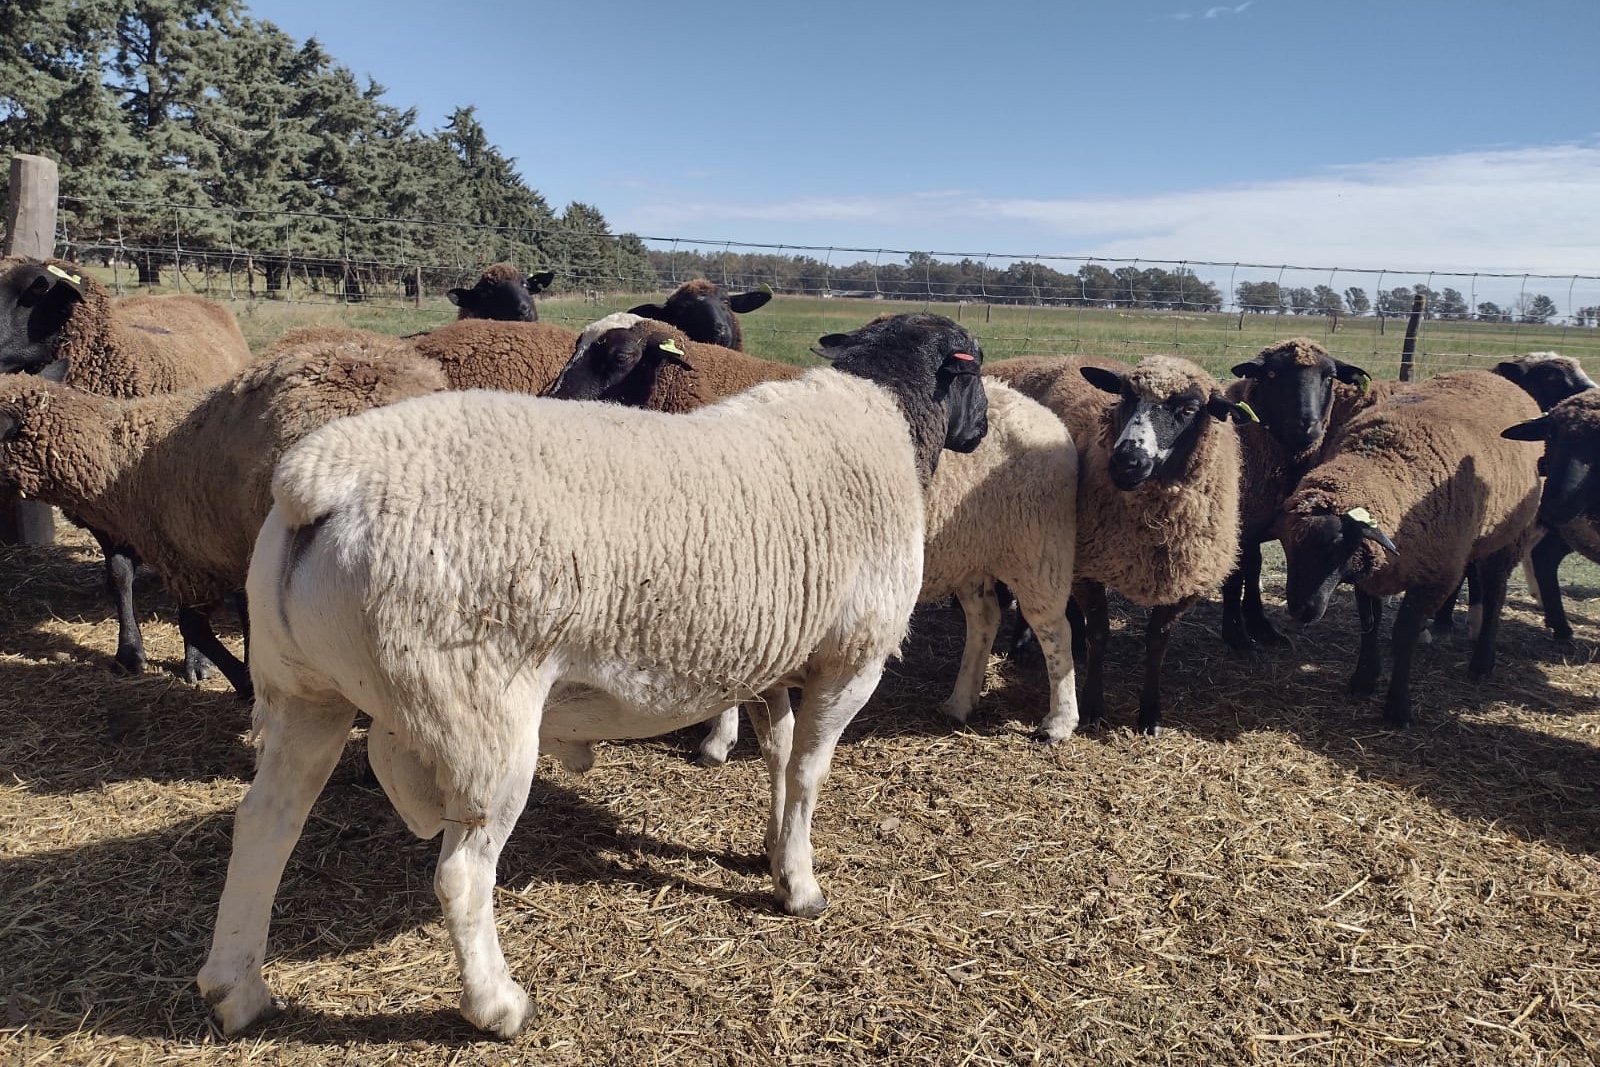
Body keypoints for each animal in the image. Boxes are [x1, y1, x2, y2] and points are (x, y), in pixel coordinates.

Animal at [198, 313, 985, 1036]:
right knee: (460, 872)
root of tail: (319, 478)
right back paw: (497, 1005)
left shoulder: (771, 660)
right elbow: (808, 773)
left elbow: (778, 756)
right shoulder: (852, 658)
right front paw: (799, 884)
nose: (978, 433)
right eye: (974, 367)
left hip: (305, 692)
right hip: (481, 713)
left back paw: (237, 990)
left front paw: (769, 851)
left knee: (266, 822)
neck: (886, 414)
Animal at [547, 313, 1075, 764]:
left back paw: (1059, 722)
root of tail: (1041, 412)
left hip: (1038, 551)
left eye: (618, 356)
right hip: (972, 556)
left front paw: (720, 739)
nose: (552, 399)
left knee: (1055, 630)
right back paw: (961, 701)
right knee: (984, 618)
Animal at [985, 350, 1248, 735]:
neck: (1151, 527)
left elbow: (1156, 644)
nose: (1127, 462)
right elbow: (1101, 634)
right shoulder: (1087, 567)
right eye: (1125, 397)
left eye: (1189, 409)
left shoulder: (1184, 583)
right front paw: (1093, 707)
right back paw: (1022, 643)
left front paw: (1150, 715)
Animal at [1273, 371, 1536, 729]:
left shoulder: (1430, 578)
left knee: (1496, 593)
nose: (1301, 610)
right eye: (1287, 546)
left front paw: (1398, 708)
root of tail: (1494, 375)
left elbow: (1403, 637)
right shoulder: (1372, 569)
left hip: (1510, 535)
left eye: (1335, 546)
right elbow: (1368, 625)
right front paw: (1364, 679)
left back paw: (1482, 662)